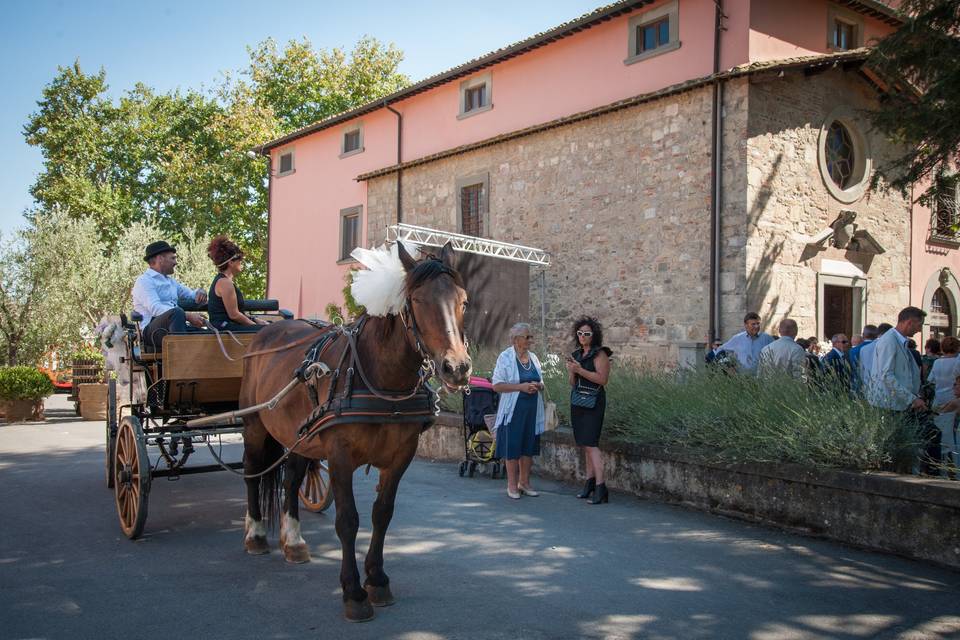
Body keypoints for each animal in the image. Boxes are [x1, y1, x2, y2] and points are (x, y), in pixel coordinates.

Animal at [236, 240, 468, 620]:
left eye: (463, 300)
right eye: (417, 301)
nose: (457, 368)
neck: (383, 379)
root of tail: (265, 332)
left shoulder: (400, 457)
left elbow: (382, 514)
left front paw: (377, 579)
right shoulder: (340, 457)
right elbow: (348, 520)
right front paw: (353, 592)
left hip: (299, 436)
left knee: (291, 480)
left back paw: (293, 541)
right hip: (255, 427)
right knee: (253, 473)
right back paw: (255, 534)